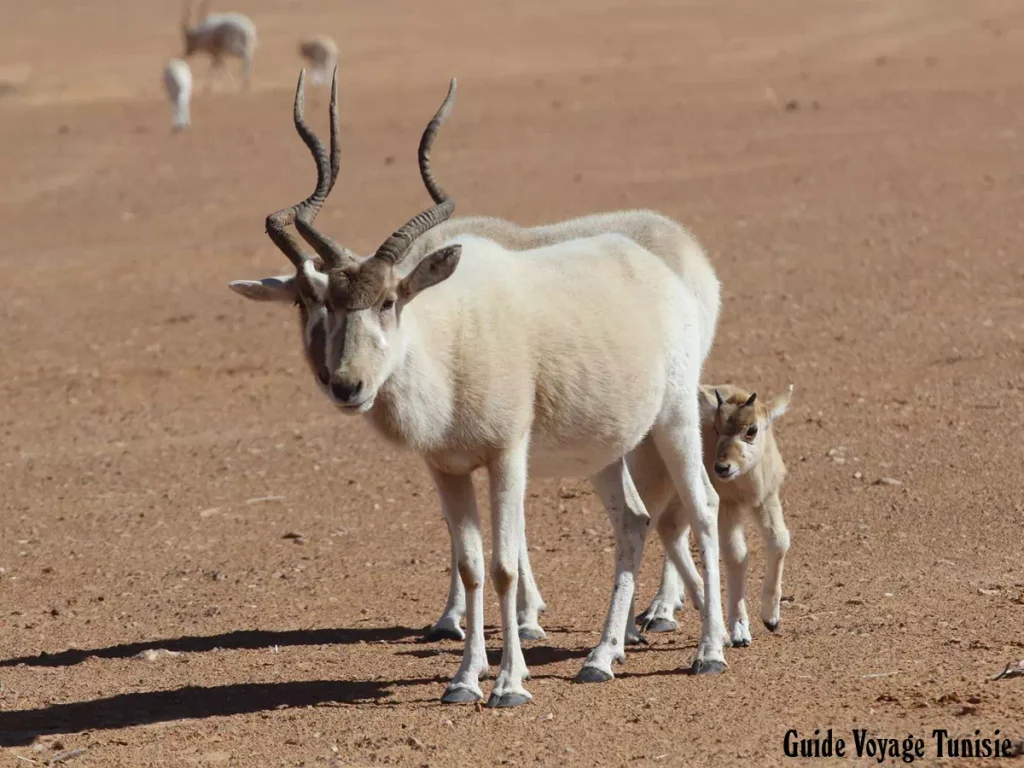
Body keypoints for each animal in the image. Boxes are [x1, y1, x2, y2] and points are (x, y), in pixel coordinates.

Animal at [232, 72, 729, 708]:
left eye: (389, 300)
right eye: (312, 300)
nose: (346, 384)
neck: (445, 342)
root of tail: (656, 263)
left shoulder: (507, 455)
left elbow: (504, 566)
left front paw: (511, 683)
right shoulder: (447, 468)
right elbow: (469, 563)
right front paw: (465, 680)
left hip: (673, 421)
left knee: (703, 508)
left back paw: (710, 648)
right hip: (605, 448)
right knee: (634, 522)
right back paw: (600, 658)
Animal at [634, 382, 794, 647]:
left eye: (752, 429)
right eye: (717, 428)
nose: (722, 468)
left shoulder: (765, 498)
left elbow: (779, 540)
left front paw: (771, 618)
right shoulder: (728, 506)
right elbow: (737, 555)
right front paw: (740, 631)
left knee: (671, 529)